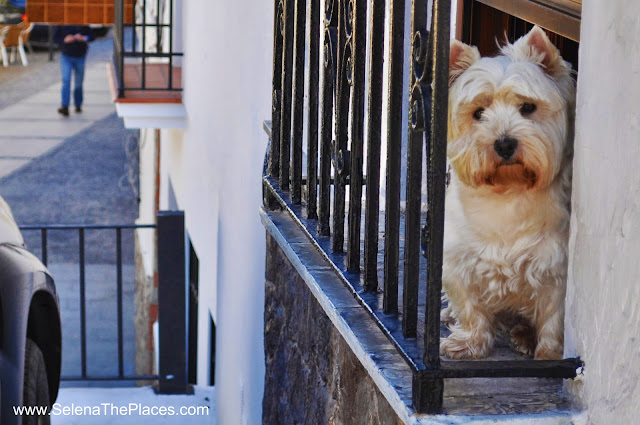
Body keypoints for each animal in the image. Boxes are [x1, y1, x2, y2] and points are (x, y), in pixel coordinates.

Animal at [440, 24, 576, 360]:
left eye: (527, 107)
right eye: (478, 113)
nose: (504, 143)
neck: (508, 192)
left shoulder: (554, 269)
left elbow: (553, 317)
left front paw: (548, 354)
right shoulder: (460, 260)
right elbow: (470, 308)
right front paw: (468, 343)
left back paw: (525, 336)